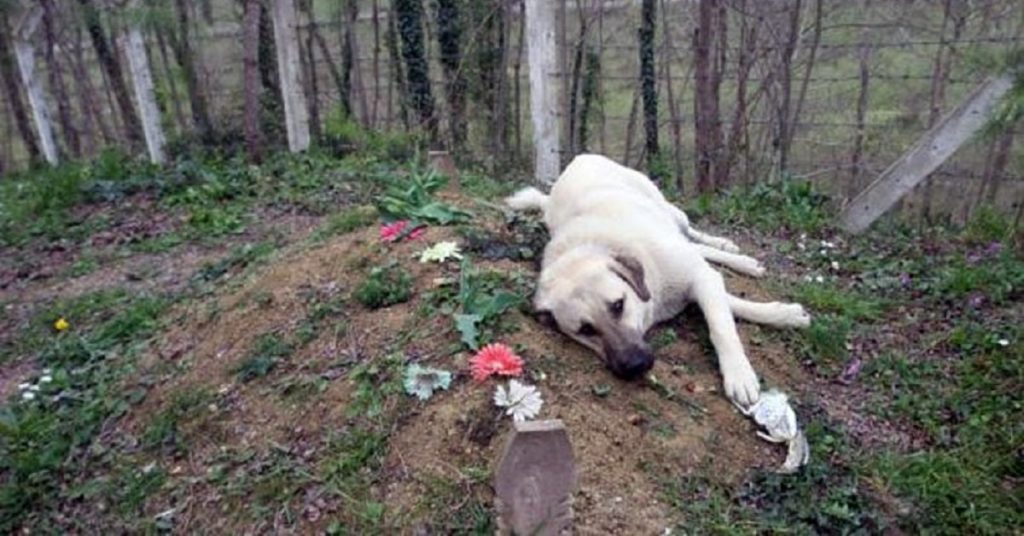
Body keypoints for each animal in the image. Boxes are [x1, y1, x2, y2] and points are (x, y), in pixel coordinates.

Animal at [503, 152, 806, 405]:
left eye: (618, 305)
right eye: (585, 330)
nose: (634, 366)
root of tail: (578, 160)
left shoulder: (699, 277)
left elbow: (721, 326)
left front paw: (740, 373)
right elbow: (728, 303)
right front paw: (785, 314)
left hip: (669, 209)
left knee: (693, 235)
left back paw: (733, 252)